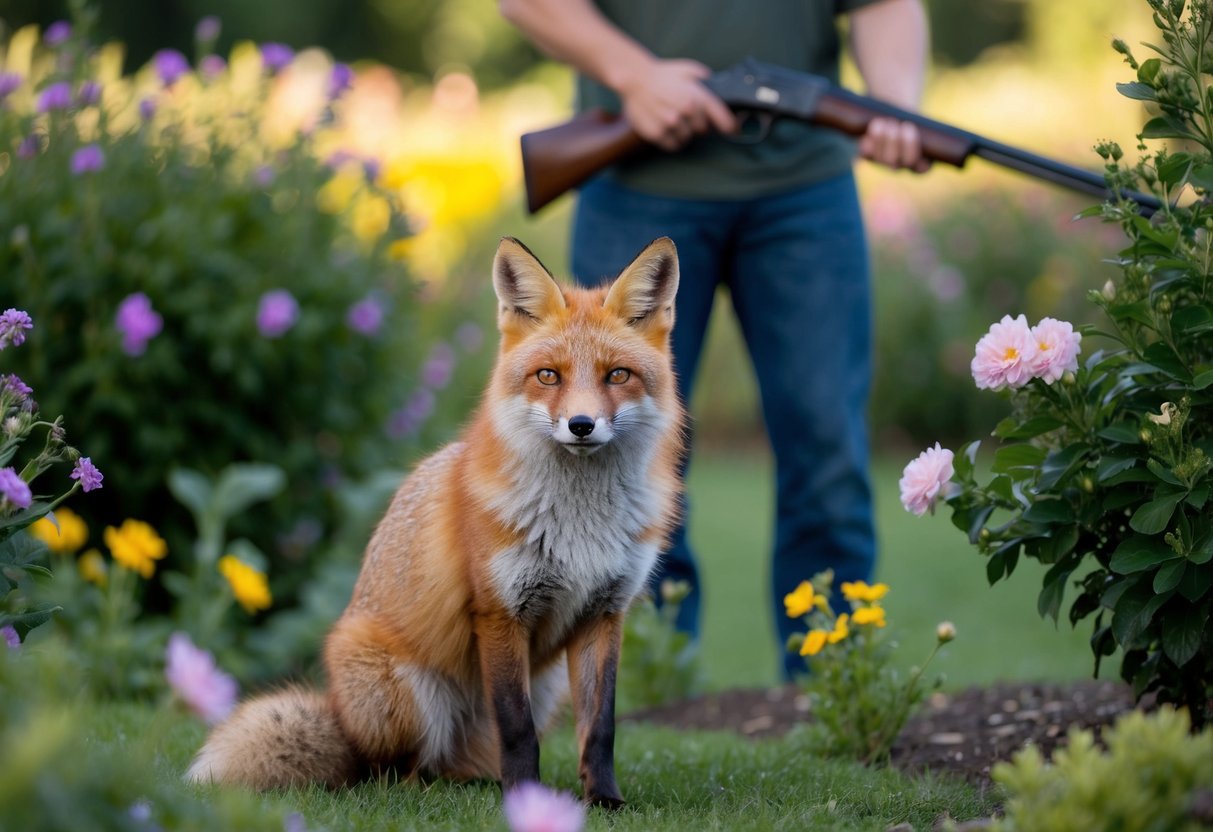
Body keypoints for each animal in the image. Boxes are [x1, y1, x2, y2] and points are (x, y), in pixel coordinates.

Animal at [186, 236, 684, 806]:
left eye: (617, 375)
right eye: (548, 375)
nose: (581, 425)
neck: (580, 526)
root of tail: (341, 717)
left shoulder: (604, 613)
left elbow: (600, 728)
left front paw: (602, 801)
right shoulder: (498, 612)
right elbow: (518, 729)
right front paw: (523, 803)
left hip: (546, 684)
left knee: (453, 764)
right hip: (408, 698)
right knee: (385, 774)